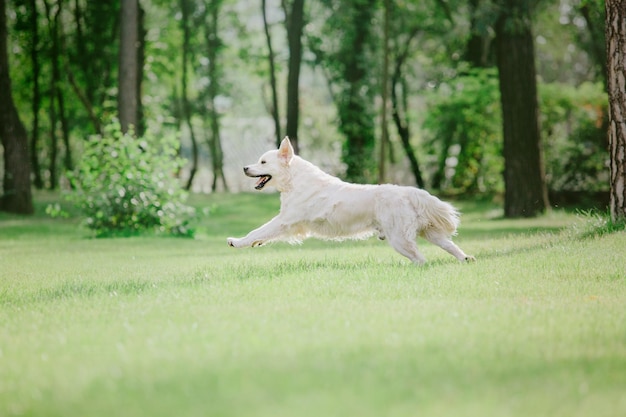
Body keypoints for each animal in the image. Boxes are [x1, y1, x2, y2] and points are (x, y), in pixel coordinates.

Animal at [227, 138, 476, 264]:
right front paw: (254, 243)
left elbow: (258, 230)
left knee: (421, 259)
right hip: (429, 233)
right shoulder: (288, 223)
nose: (245, 168)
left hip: (400, 240)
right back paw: (466, 258)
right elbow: (262, 234)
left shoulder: (285, 220)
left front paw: (237, 241)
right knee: (449, 246)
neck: (295, 181)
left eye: (263, 162)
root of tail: (408, 191)